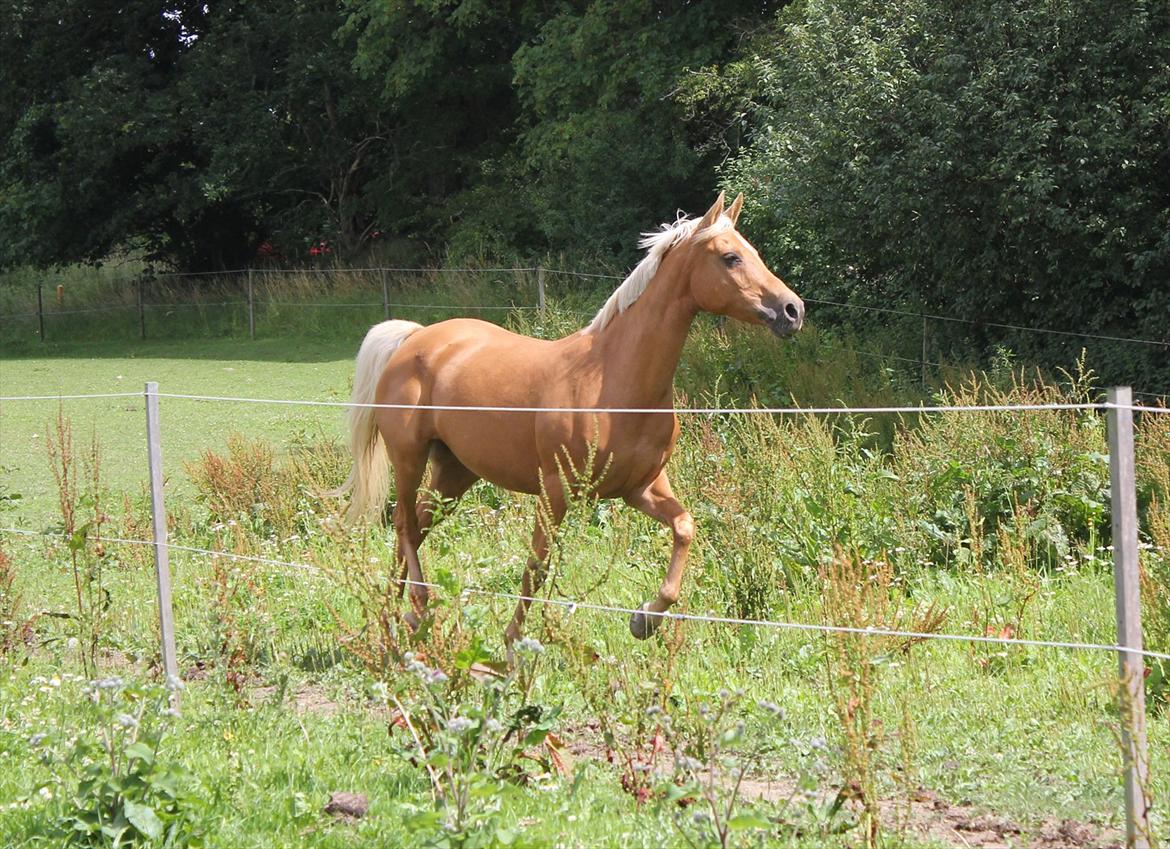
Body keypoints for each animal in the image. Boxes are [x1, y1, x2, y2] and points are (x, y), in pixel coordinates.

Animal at [334, 194, 800, 659]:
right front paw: (512, 646)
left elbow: (684, 528)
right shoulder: (555, 490)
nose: (793, 310)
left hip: (454, 472)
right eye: (730, 257)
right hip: (408, 458)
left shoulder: (641, 488)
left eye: (753, 252)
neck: (611, 377)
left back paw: (393, 619)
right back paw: (416, 610)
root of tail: (415, 338)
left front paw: (645, 619)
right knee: (404, 524)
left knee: (416, 527)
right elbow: (537, 567)